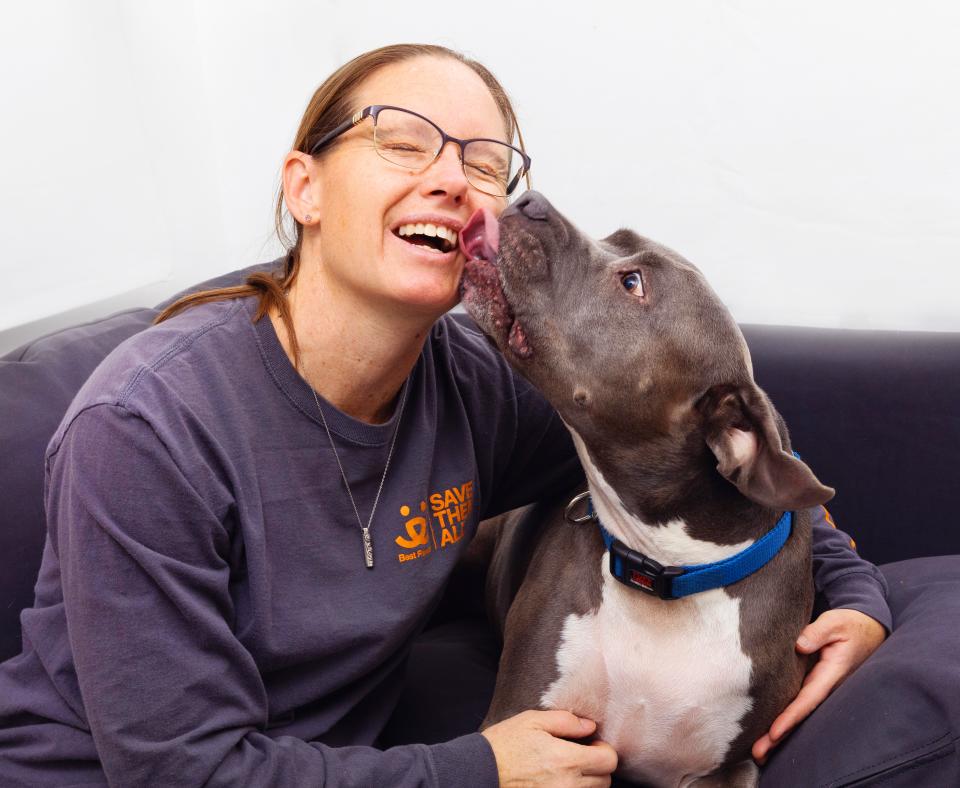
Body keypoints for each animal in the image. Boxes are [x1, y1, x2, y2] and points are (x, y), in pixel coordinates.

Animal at [458, 192, 832, 788]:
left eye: (632, 283)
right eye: (617, 239)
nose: (531, 200)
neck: (666, 571)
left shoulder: (731, 769)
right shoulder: (522, 721)